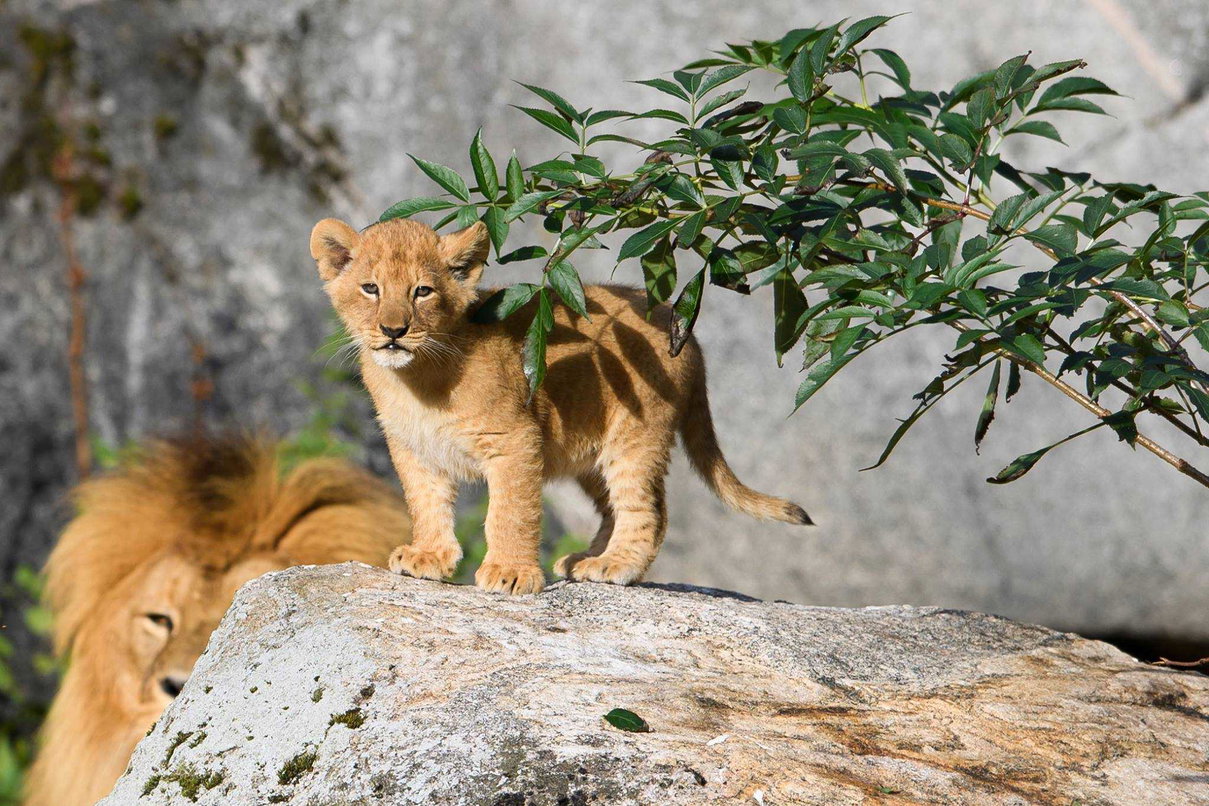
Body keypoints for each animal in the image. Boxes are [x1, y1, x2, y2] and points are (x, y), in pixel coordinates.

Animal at [309, 217, 810, 596]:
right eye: (370, 288)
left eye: (422, 292)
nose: (393, 331)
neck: (417, 379)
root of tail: (679, 324)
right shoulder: (413, 448)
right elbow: (425, 502)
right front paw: (429, 555)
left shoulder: (515, 440)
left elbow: (510, 511)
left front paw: (510, 573)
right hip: (590, 451)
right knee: (618, 507)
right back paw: (587, 558)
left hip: (636, 434)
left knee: (647, 508)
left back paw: (615, 565)